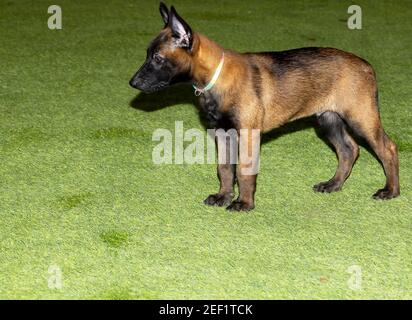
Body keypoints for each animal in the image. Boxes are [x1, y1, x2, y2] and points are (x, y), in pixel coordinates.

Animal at [129, 3, 400, 212]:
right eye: (148, 54)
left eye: (157, 58)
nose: (133, 83)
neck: (218, 78)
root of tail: (366, 65)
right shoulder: (223, 134)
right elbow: (225, 169)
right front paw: (223, 196)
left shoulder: (248, 135)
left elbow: (244, 171)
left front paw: (244, 203)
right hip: (328, 119)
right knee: (348, 150)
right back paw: (332, 185)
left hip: (361, 118)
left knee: (387, 148)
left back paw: (391, 191)